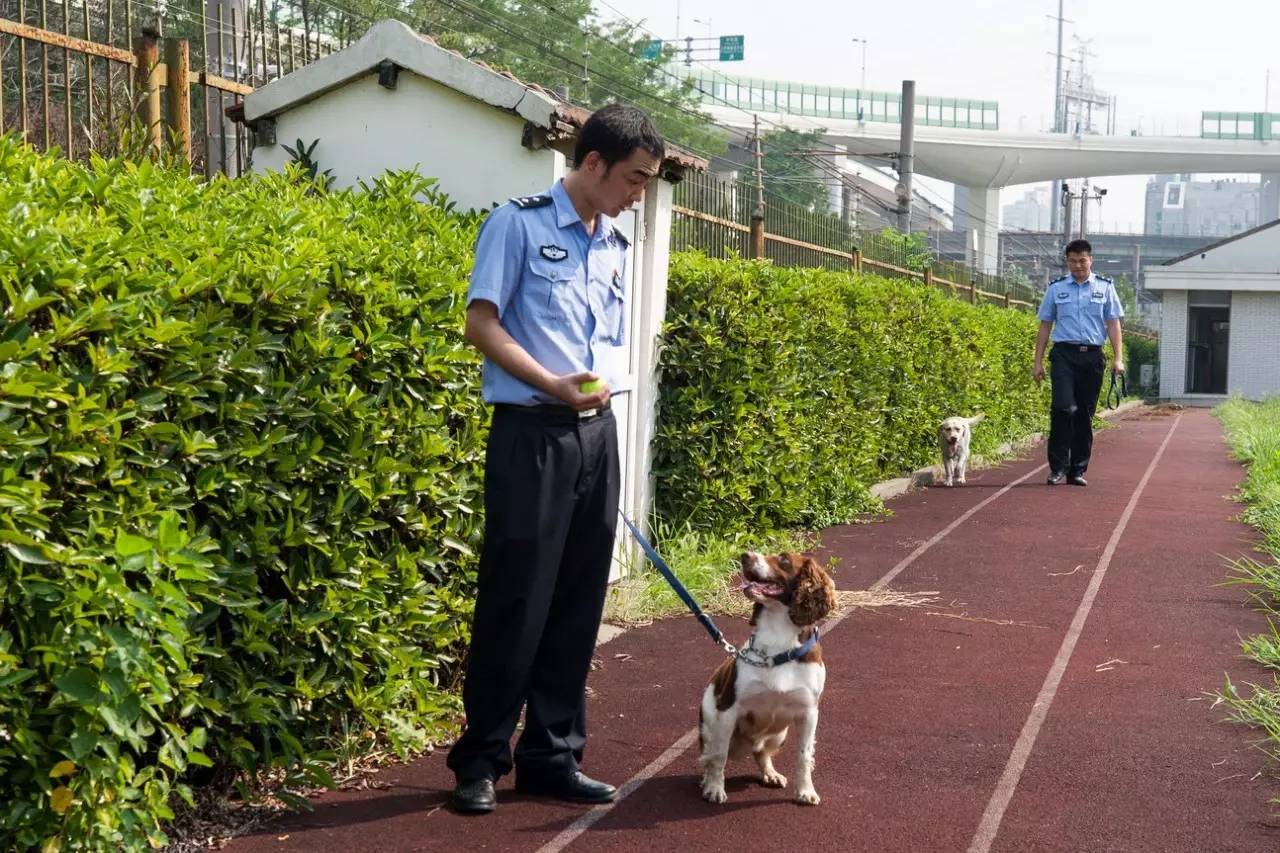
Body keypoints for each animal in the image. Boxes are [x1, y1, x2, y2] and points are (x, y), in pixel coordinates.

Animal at [701, 550, 839, 804]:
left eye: (784, 559)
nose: (745, 555)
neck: (779, 638)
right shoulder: (728, 710)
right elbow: (719, 756)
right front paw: (715, 788)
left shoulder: (809, 712)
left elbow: (804, 756)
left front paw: (806, 791)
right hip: (709, 725)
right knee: (709, 756)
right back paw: (707, 781)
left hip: (779, 734)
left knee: (762, 753)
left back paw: (771, 774)